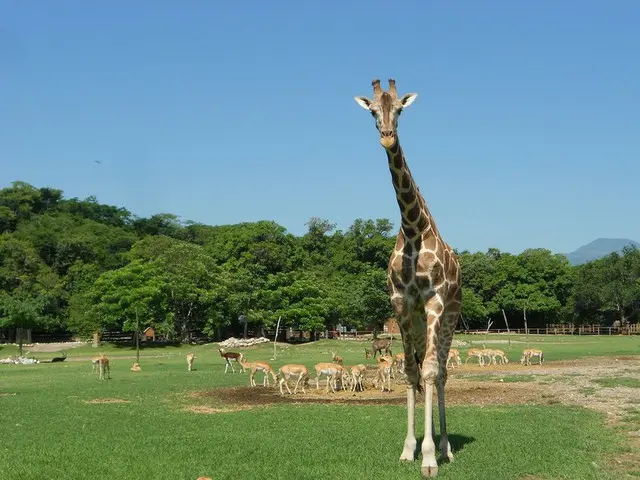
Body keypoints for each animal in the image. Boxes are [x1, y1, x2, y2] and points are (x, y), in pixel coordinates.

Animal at [356, 79, 460, 476]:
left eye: (400, 109)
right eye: (373, 110)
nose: (387, 137)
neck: (414, 230)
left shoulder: (434, 303)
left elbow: (429, 373)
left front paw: (429, 458)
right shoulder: (401, 305)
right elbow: (411, 374)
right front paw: (408, 449)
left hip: (449, 318)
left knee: (441, 372)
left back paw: (446, 447)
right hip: (416, 323)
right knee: (420, 368)